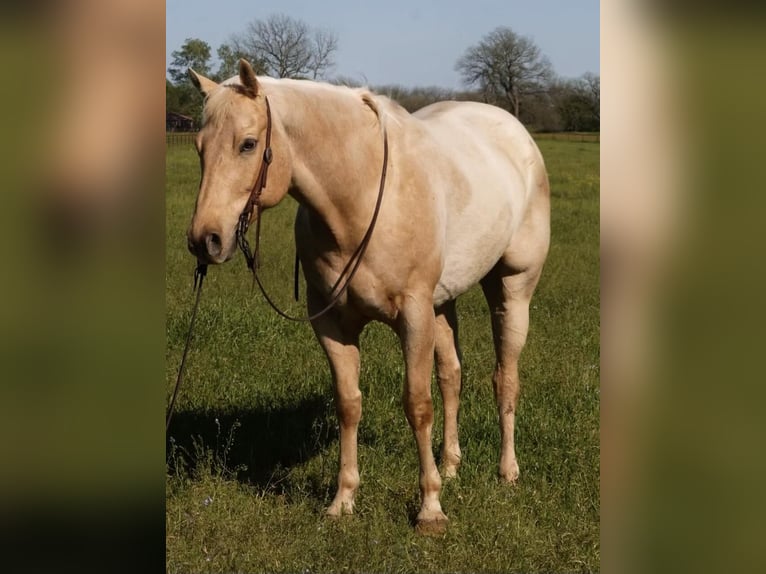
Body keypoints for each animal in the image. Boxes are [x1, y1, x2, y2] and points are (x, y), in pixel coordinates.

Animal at [189, 59, 556, 536]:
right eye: (199, 147)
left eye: (248, 144)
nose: (205, 240)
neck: (358, 198)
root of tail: (516, 132)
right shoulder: (332, 324)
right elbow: (349, 404)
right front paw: (343, 499)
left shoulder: (414, 316)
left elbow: (418, 405)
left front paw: (430, 508)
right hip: (443, 302)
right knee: (452, 376)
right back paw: (451, 465)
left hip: (511, 289)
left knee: (504, 379)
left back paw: (507, 471)